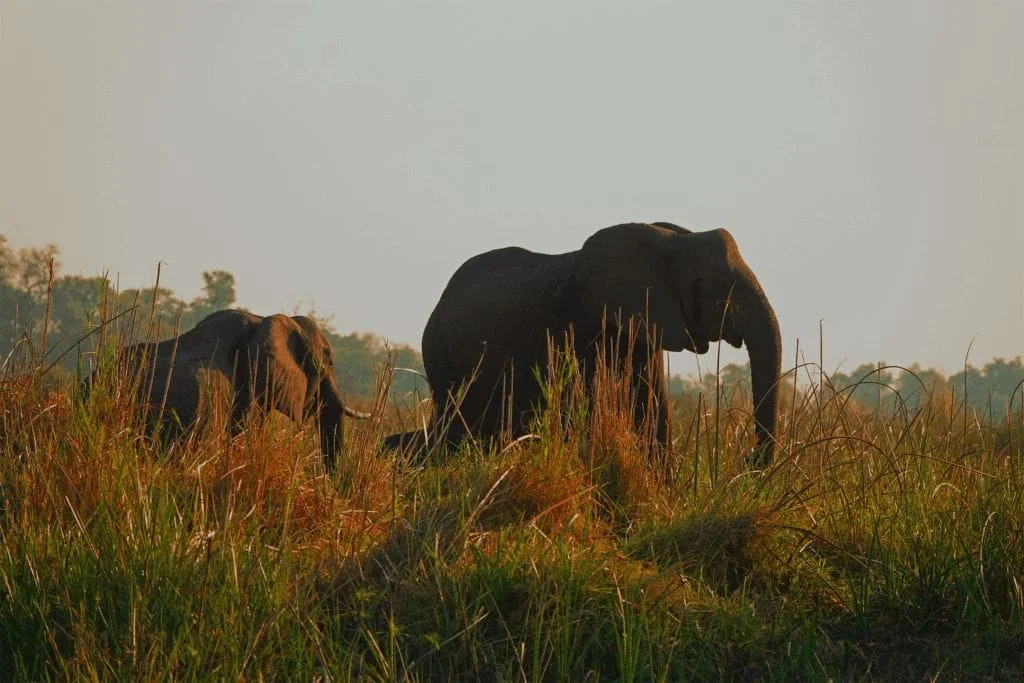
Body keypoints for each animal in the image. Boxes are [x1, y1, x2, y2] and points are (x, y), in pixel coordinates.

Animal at [385, 222, 782, 466]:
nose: (747, 458)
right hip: (439, 352)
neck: (666, 242)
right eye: (715, 289)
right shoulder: (583, 324)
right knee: (455, 428)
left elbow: (652, 404)